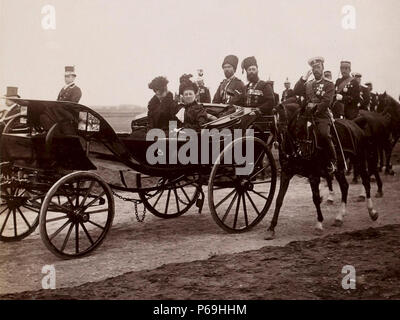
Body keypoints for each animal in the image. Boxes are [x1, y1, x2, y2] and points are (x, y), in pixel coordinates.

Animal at [264, 102, 380, 240]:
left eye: (310, 127)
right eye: (275, 123)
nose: (279, 145)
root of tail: (354, 123)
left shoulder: (313, 176)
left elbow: (315, 198)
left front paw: (319, 224)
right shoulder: (286, 173)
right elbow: (279, 199)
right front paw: (271, 228)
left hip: (359, 160)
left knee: (366, 182)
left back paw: (372, 211)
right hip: (339, 169)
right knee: (345, 186)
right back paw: (339, 217)